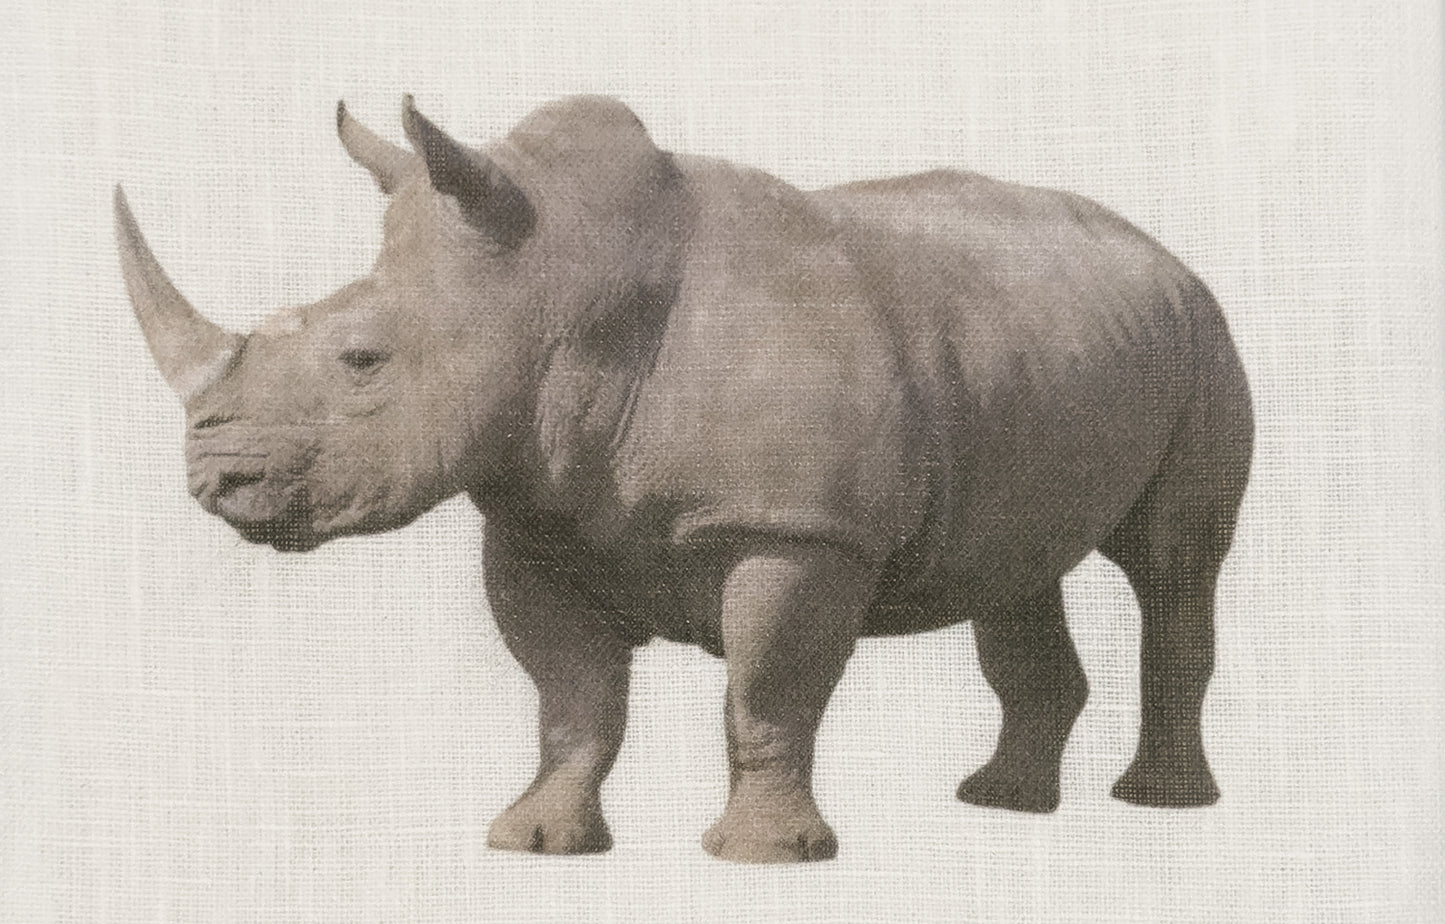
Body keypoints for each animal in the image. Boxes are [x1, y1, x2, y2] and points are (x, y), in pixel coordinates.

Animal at [115, 95, 1253, 863]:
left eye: (361, 360)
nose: (214, 481)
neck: (555, 290)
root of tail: (1158, 250)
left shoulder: (799, 528)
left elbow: (767, 689)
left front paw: (764, 857)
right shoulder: (536, 516)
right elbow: (571, 699)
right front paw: (533, 841)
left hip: (1202, 331)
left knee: (1172, 566)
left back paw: (1159, 804)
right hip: (1039, 346)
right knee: (1017, 568)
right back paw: (997, 805)